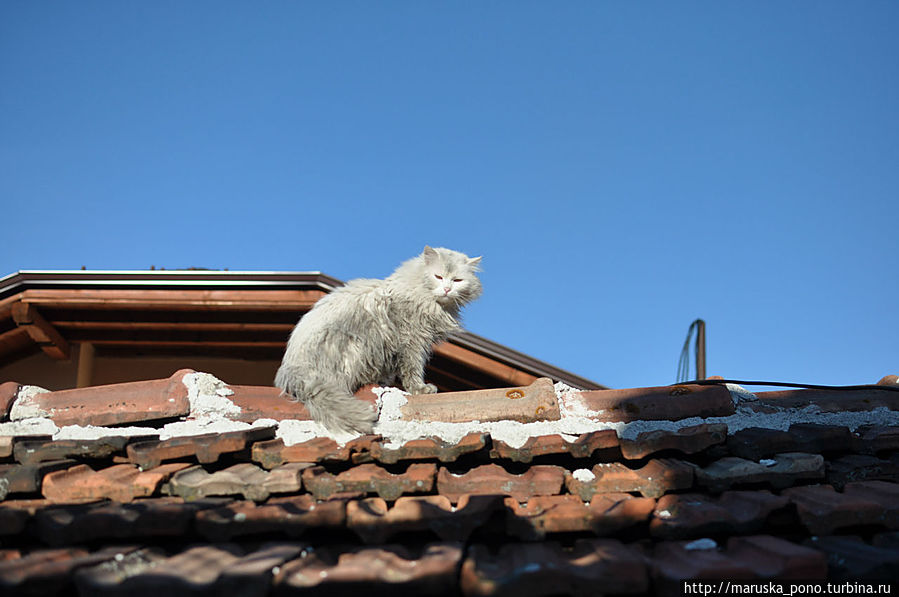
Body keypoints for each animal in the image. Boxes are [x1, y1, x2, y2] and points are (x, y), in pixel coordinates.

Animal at [276, 246, 482, 434]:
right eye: (438, 277)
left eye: (457, 280)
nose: (447, 289)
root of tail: (295, 370)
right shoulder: (413, 341)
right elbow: (413, 369)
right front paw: (420, 388)